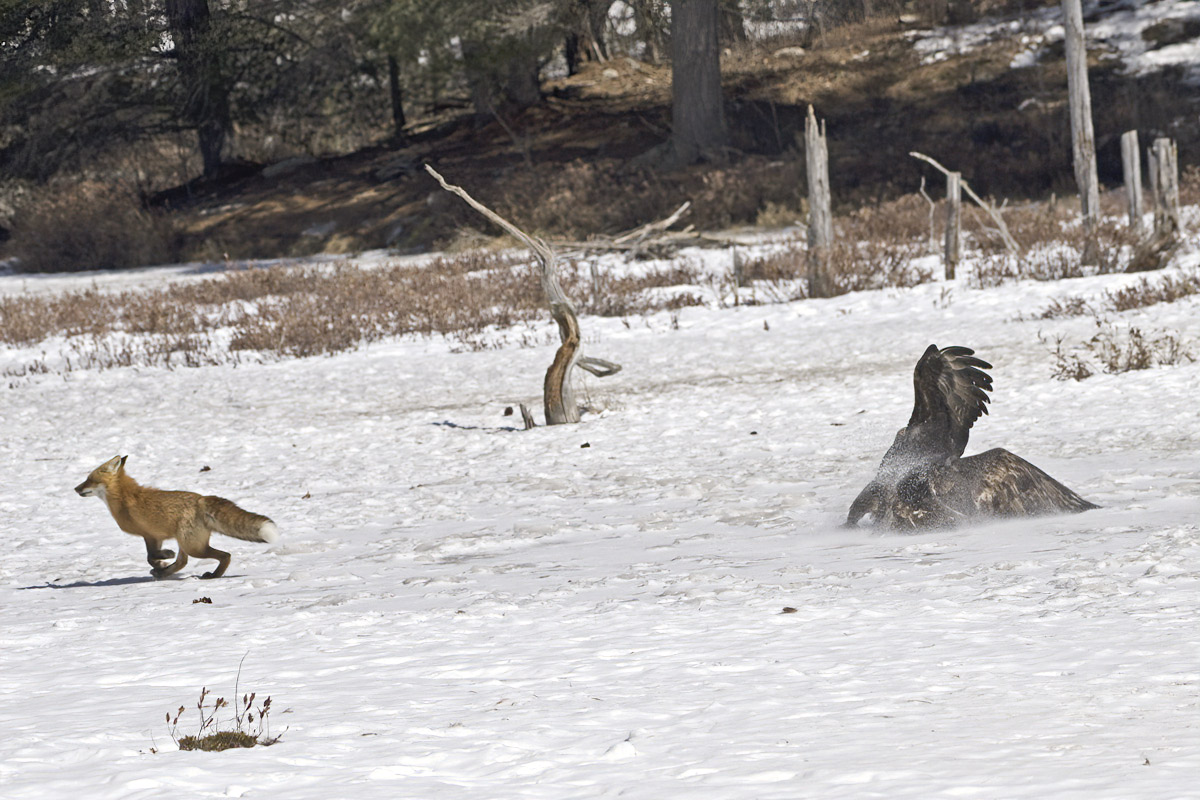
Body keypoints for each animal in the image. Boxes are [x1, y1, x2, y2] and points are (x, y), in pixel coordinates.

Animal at [75, 455, 279, 579]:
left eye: (89, 480)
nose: (76, 489)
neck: (124, 498)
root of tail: (201, 498)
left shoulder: (151, 535)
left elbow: (151, 556)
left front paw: (164, 559)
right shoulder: (154, 537)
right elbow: (152, 558)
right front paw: (161, 566)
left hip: (193, 547)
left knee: (225, 555)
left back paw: (213, 575)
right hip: (188, 544)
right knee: (183, 562)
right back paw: (166, 573)